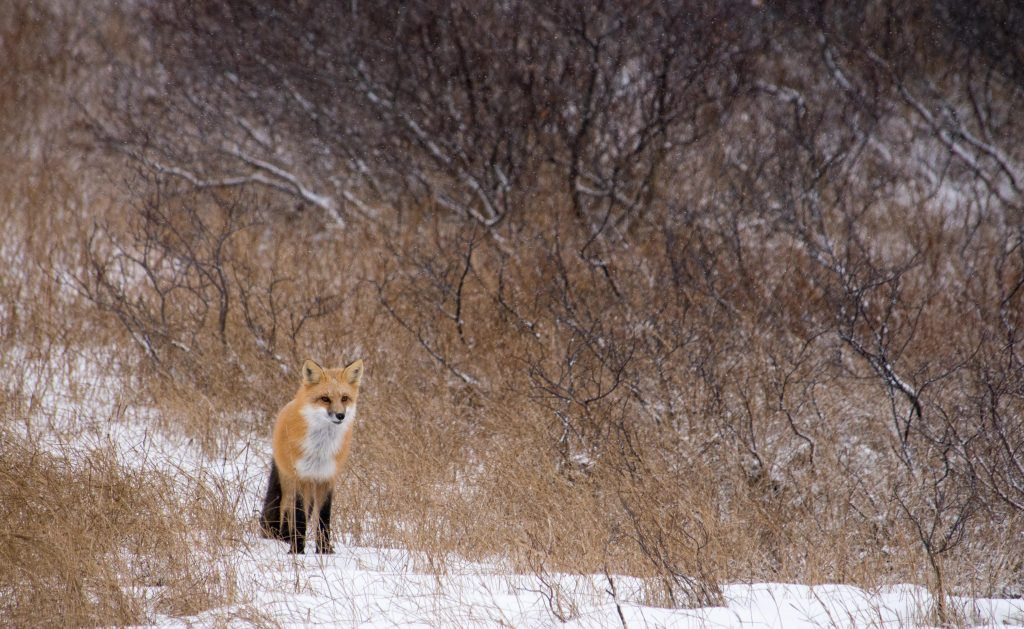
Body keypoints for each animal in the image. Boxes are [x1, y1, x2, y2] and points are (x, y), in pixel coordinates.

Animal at [259, 358, 364, 553]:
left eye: (344, 398)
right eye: (325, 399)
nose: (340, 415)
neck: (320, 450)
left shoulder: (327, 478)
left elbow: (324, 518)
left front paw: (324, 550)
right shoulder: (300, 477)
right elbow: (299, 518)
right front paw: (297, 550)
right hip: (288, 482)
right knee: (286, 510)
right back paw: (285, 538)